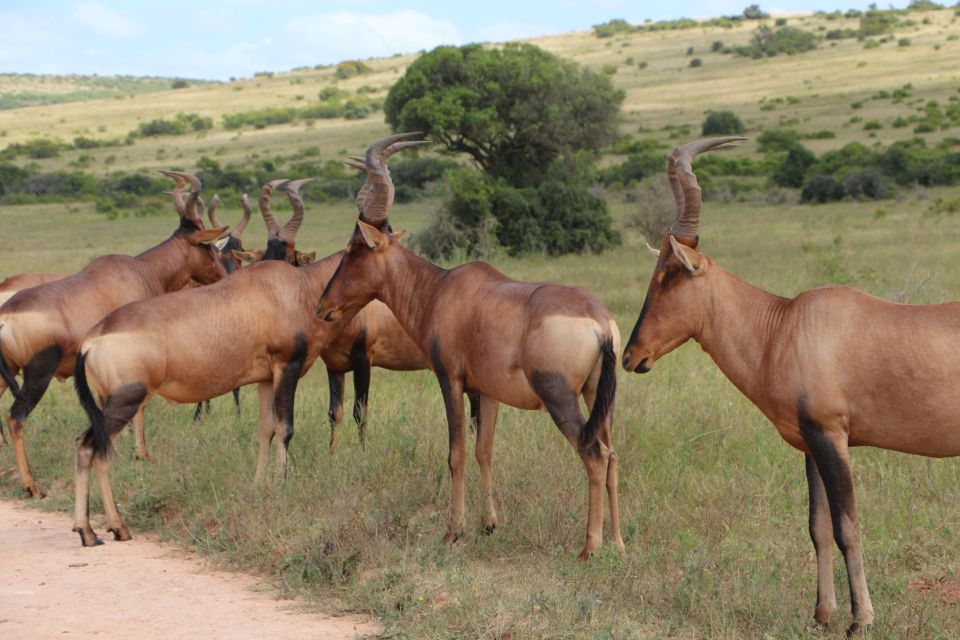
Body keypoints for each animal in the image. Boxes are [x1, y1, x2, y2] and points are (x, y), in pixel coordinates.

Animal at [0, 170, 228, 496]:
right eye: (207, 245)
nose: (224, 276)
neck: (139, 271)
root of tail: (6, 314)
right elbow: (140, 409)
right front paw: (142, 455)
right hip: (37, 373)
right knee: (15, 417)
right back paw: (31, 486)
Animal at [318, 132, 624, 556]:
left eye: (353, 250)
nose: (323, 307)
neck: (443, 289)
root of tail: (598, 320)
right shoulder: (488, 391)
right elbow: (485, 450)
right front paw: (489, 524)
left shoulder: (451, 380)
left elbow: (457, 453)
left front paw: (454, 531)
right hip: (599, 395)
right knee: (612, 455)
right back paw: (620, 544)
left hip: (559, 395)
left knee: (593, 453)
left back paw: (588, 548)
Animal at [620, 138, 960, 632]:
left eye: (669, 275)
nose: (631, 356)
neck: (783, 325)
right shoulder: (810, 445)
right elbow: (817, 527)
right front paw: (822, 614)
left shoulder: (831, 437)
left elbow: (847, 526)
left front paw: (861, 621)